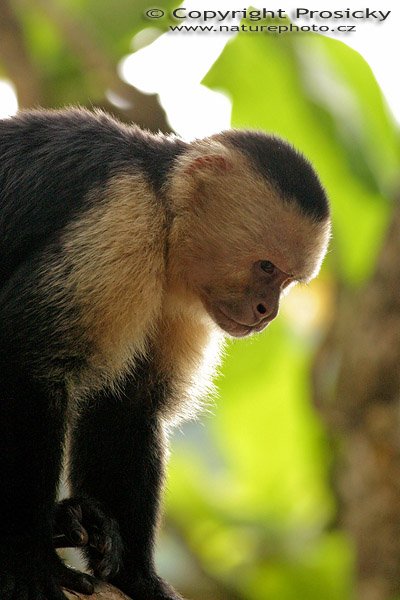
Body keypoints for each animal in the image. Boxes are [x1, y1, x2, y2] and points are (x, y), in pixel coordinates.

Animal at [0, 109, 330, 600]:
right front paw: (29, 561)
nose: (267, 312)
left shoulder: (179, 301)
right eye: (266, 267)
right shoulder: (122, 219)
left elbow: (128, 409)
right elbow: (26, 363)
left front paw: (135, 577)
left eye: (288, 280)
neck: (164, 207)